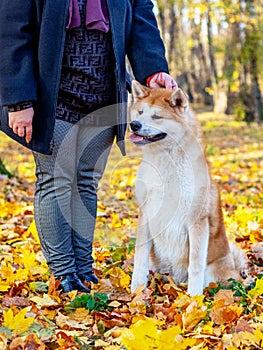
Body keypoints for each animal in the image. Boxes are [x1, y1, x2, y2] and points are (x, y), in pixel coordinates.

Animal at [130, 81, 248, 296]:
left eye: (157, 116)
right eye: (140, 112)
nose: (134, 125)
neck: (166, 163)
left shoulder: (197, 220)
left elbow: (195, 265)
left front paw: (193, 298)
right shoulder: (146, 213)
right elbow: (139, 258)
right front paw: (137, 290)